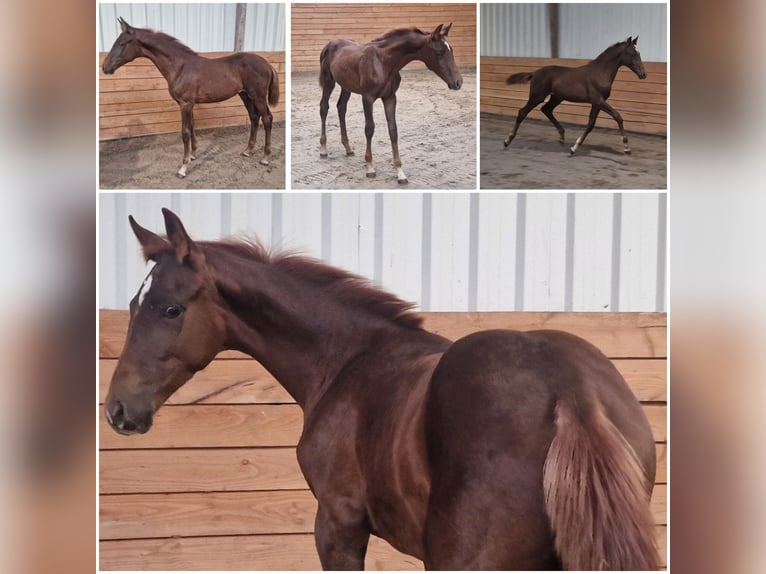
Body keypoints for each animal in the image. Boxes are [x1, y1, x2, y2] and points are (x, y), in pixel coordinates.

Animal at [101, 17, 279, 178]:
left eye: (122, 43)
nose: (105, 67)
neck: (180, 67)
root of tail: (267, 64)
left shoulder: (185, 104)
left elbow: (185, 132)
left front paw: (183, 167)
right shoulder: (190, 104)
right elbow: (193, 126)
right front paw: (193, 154)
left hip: (258, 96)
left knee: (267, 118)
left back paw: (265, 157)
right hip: (245, 95)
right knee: (254, 117)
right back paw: (248, 150)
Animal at [104, 208, 661, 570]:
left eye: (171, 309)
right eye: (132, 305)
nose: (118, 409)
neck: (348, 358)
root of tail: (572, 391)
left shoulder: (338, 525)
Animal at [319, 24, 463, 184]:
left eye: (451, 50)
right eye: (439, 52)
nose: (458, 82)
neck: (383, 62)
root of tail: (331, 43)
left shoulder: (390, 97)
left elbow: (393, 130)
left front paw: (400, 172)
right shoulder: (367, 98)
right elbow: (369, 129)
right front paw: (370, 167)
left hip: (346, 86)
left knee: (341, 108)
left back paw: (348, 148)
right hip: (329, 82)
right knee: (324, 107)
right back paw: (323, 149)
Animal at [503, 36, 647, 155]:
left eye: (639, 53)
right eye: (632, 54)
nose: (643, 74)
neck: (600, 73)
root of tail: (535, 73)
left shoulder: (597, 103)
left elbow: (591, 124)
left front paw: (574, 147)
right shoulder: (598, 100)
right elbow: (617, 116)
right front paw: (627, 148)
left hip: (557, 97)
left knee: (546, 109)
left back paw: (561, 137)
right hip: (537, 97)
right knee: (522, 112)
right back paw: (507, 140)